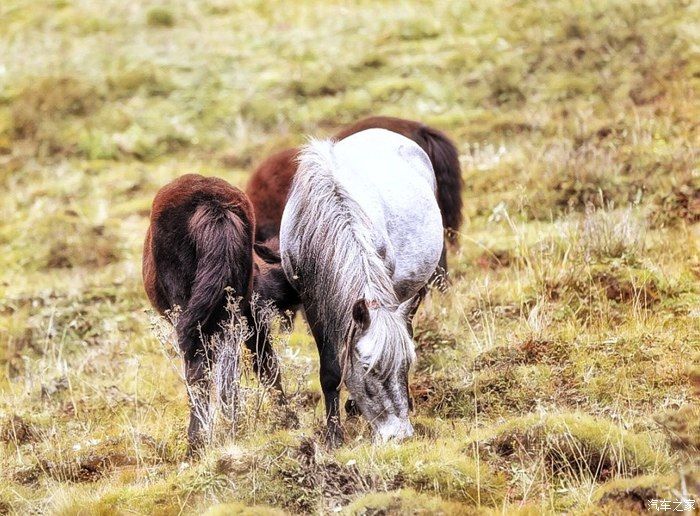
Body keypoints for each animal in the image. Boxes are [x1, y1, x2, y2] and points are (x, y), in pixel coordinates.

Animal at [142, 173, 296, 452]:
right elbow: (266, 365)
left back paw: (197, 441)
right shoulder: (251, 320)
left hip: (191, 315)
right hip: (232, 312)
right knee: (233, 370)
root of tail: (212, 204)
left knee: (200, 370)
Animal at [280, 128, 440, 444]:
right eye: (369, 367)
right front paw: (334, 435)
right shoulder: (313, 304)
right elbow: (331, 368)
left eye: (406, 365)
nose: (400, 436)